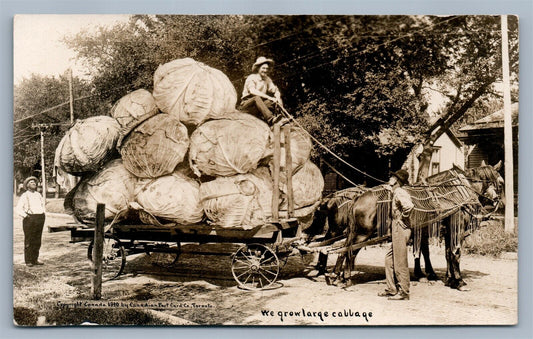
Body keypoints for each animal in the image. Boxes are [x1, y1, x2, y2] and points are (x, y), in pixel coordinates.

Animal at [308, 162, 502, 290]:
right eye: (500, 182)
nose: (497, 200)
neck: (453, 195)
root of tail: (356, 198)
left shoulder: (444, 231)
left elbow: (445, 253)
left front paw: (448, 278)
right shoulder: (456, 230)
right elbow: (454, 254)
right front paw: (458, 281)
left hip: (354, 232)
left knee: (344, 249)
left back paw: (337, 275)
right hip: (359, 233)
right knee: (346, 249)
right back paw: (338, 275)